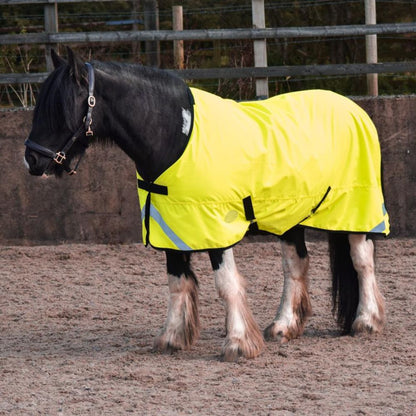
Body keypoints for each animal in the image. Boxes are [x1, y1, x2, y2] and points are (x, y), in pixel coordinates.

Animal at [23, 48, 386, 360]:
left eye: (60, 108)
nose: (31, 160)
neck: (175, 137)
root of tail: (354, 110)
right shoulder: (170, 226)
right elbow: (177, 282)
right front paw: (172, 338)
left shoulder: (215, 227)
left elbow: (226, 283)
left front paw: (238, 343)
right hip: (288, 217)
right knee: (296, 265)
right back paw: (283, 326)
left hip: (357, 212)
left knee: (362, 259)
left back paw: (367, 321)